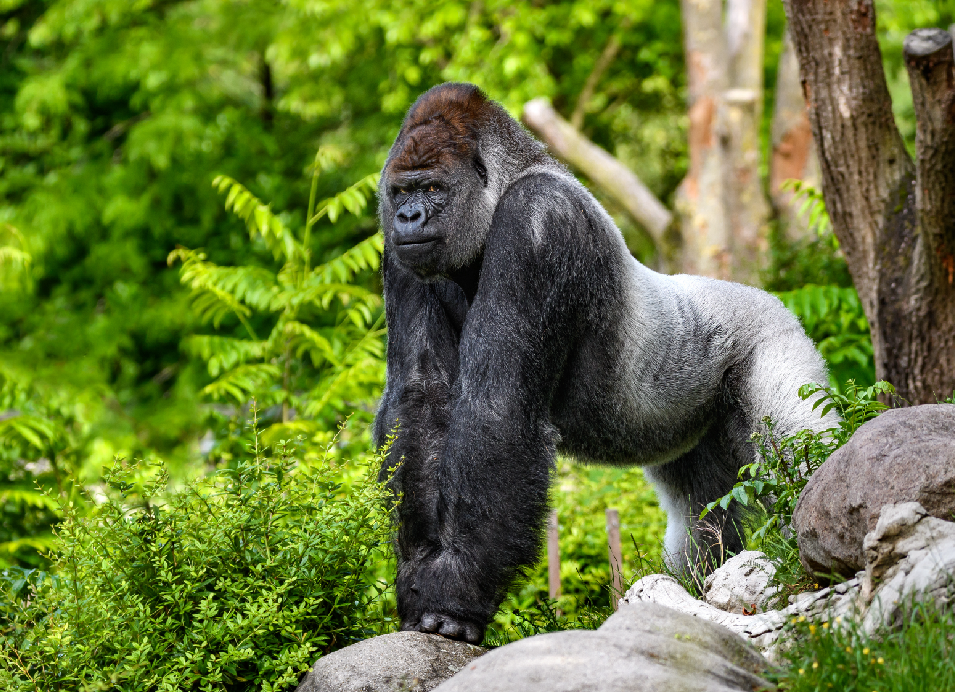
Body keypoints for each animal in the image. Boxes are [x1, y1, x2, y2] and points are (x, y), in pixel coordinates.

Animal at [373, 82, 832, 644]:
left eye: (433, 188)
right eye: (401, 193)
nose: (408, 218)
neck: (507, 182)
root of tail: (775, 302)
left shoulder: (539, 222)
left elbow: (497, 408)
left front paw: (453, 595)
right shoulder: (403, 255)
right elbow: (420, 400)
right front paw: (420, 579)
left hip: (776, 341)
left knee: (800, 455)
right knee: (700, 509)